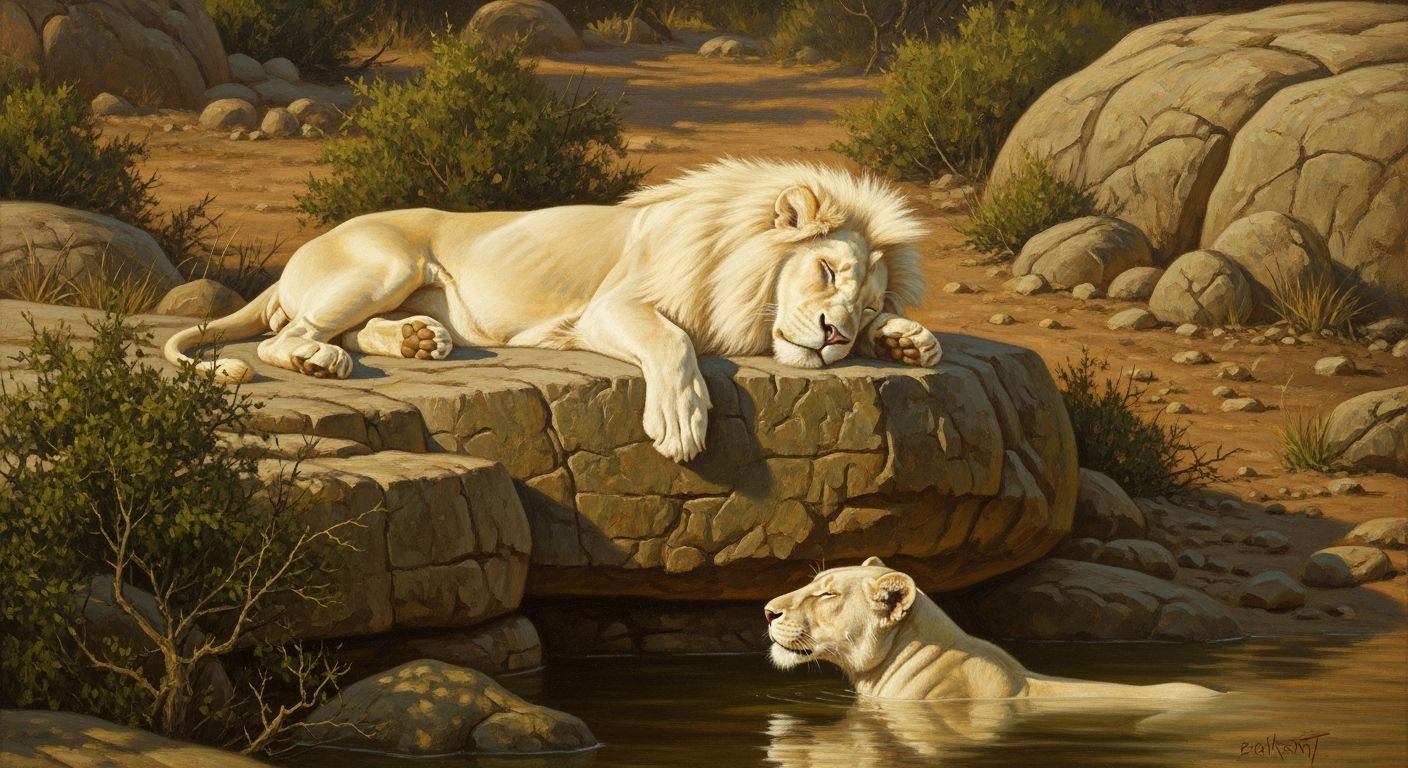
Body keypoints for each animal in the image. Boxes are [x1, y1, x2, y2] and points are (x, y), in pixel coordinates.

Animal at [163, 159, 937, 462]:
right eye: (825, 270)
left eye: (866, 303)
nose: (835, 335)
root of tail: (300, 253)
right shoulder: (612, 309)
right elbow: (673, 342)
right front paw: (681, 425)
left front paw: (909, 342)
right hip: (384, 262)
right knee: (281, 337)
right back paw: (319, 359)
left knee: (355, 332)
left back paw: (418, 341)